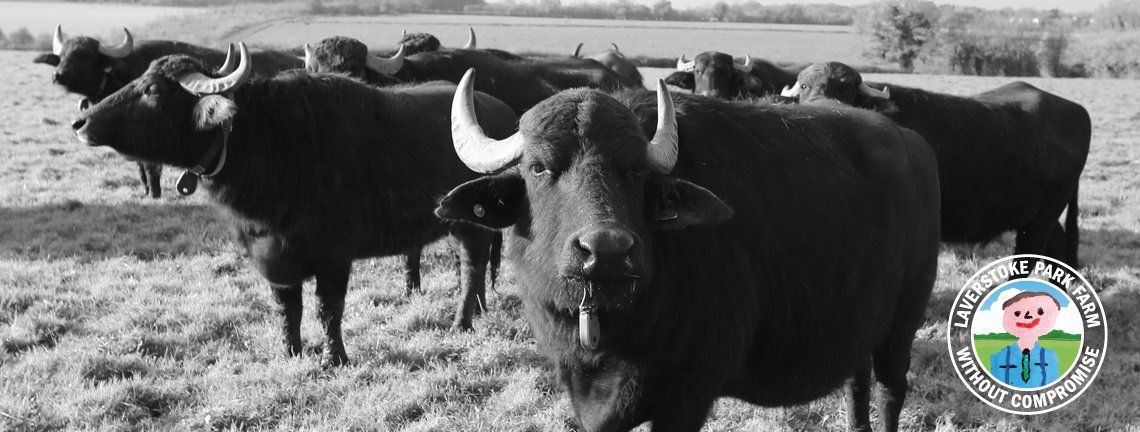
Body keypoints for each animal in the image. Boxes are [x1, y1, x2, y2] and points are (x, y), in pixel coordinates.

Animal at [39, 25, 300, 198]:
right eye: (62, 55)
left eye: (83, 54)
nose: (57, 75)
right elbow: (140, 170)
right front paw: (146, 192)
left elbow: (151, 168)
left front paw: (154, 194)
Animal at [71, 45, 517, 364]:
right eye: (140, 78)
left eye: (153, 90)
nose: (81, 122)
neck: (269, 142)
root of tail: (501, 112)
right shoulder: (272, 258)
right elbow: (288, 310)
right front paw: (291, 353)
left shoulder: (334, 256)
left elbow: (327, 309)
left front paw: (334, 359)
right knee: (474, 266)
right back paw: (478, 311)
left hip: (471, 224)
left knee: (471, 266)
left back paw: (461, 322)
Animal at [433, 69, 934, 430]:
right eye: (538, 168)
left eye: (635, 171)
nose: (607, 251)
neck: (614, 331)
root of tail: (912, 143)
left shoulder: (689, 392)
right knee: (856, 386)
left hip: (903, 324)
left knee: (890, 391)